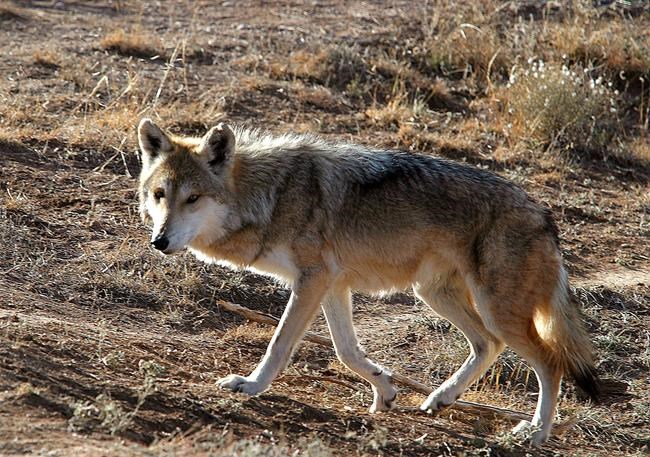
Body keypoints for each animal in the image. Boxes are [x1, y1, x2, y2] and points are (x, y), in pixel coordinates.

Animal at [136, 118, 598, 444]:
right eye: (160, 195)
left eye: (193, 198)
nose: (160, 241)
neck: (271, 196)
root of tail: (544, 214)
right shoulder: (331, 285)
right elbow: (346, 352)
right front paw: (384, 390)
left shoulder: (313, 280)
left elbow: (279, 344)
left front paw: (250, 385)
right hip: (436, 295)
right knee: (489, 345)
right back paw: (440, 398)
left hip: (492, 307)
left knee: (550, 362)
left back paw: (535, 432)